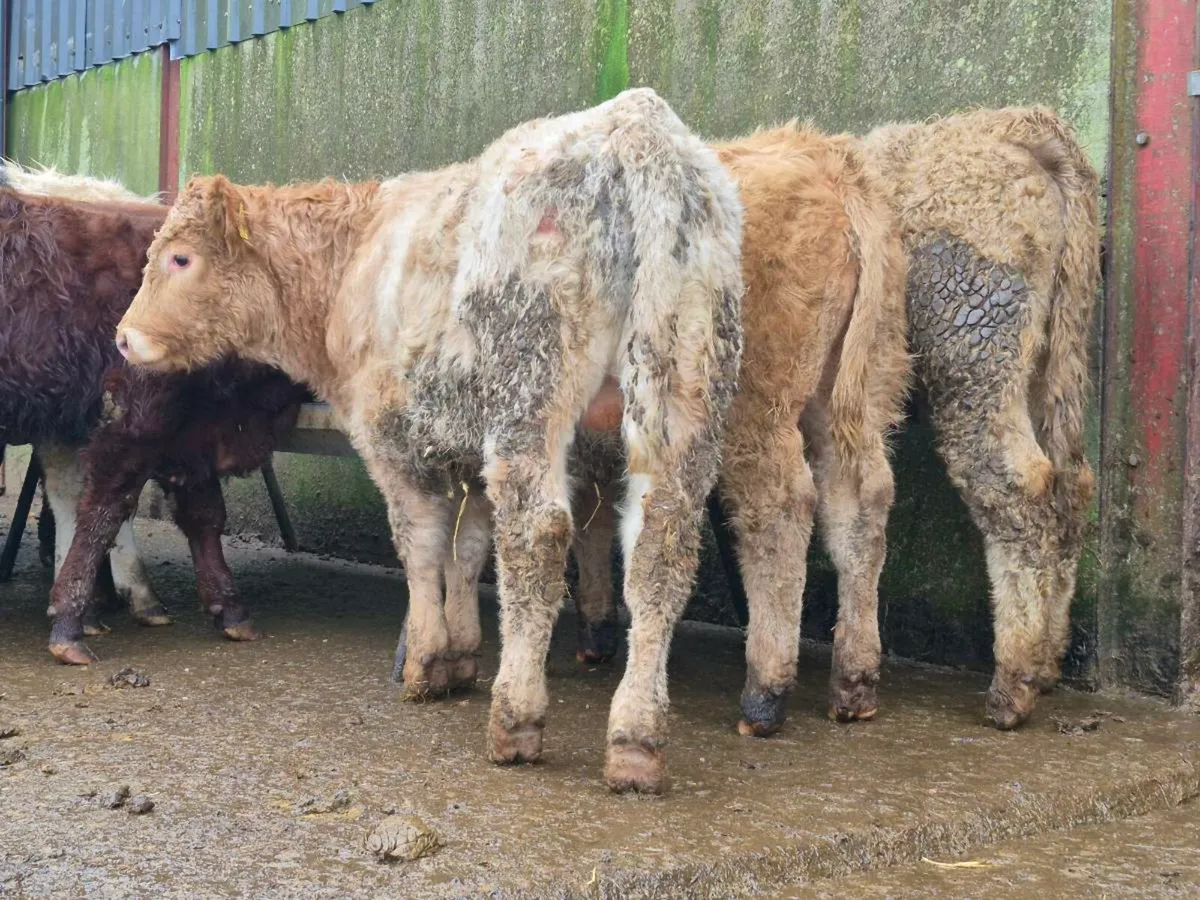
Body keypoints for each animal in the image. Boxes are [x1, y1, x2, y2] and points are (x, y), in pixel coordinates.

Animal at [114, 88, 745, 794]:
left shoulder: (392, 439)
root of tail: (635, 123)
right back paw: (636, 740)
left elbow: (421, 546)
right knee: (661, 545)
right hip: (682, 384)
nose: (123, 336)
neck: (351, 264)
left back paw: (517, 718)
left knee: (537, 534)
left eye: (180, 258)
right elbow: (467, 550)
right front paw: (462, 653)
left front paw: (424, 659)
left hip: (531, 392)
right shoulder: (467, 451)